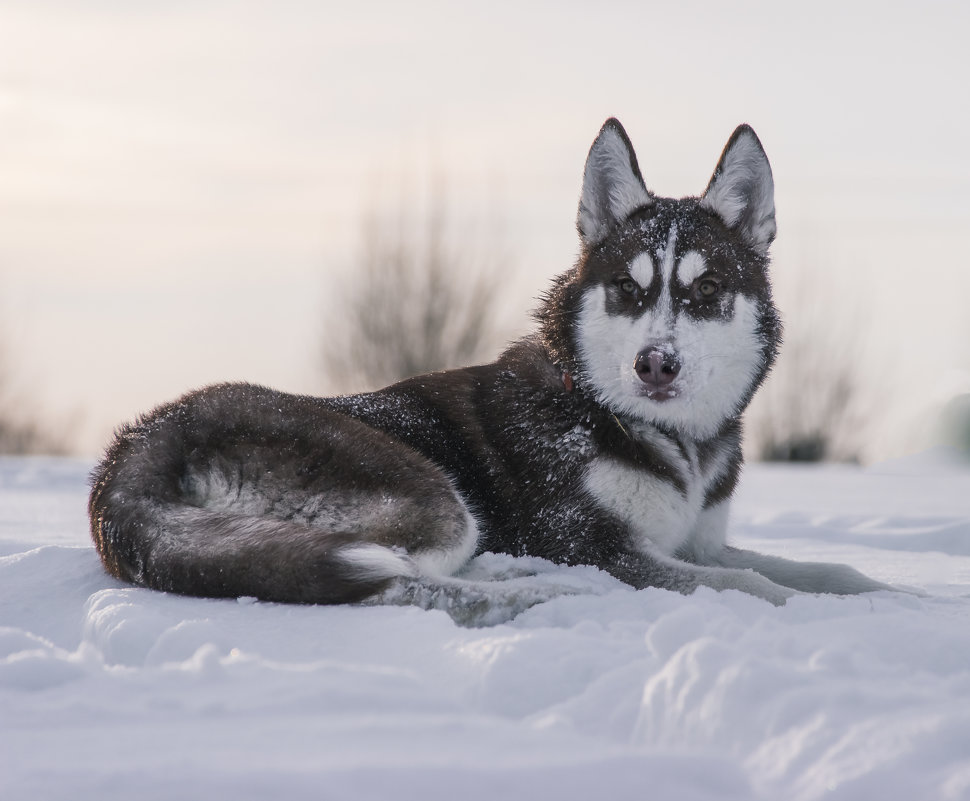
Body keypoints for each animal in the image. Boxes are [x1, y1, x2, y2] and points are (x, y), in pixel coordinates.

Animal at [89, 117, 884, 608]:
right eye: (628, 289)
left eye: (707, 290)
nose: (655, 365)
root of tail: (131, 449)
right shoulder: (598, 544)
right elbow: (757, 586)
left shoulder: (698, 542)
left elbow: (820, 567)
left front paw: (899, 594)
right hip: (430, 498)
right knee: (400, 582)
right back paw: (537, 589)